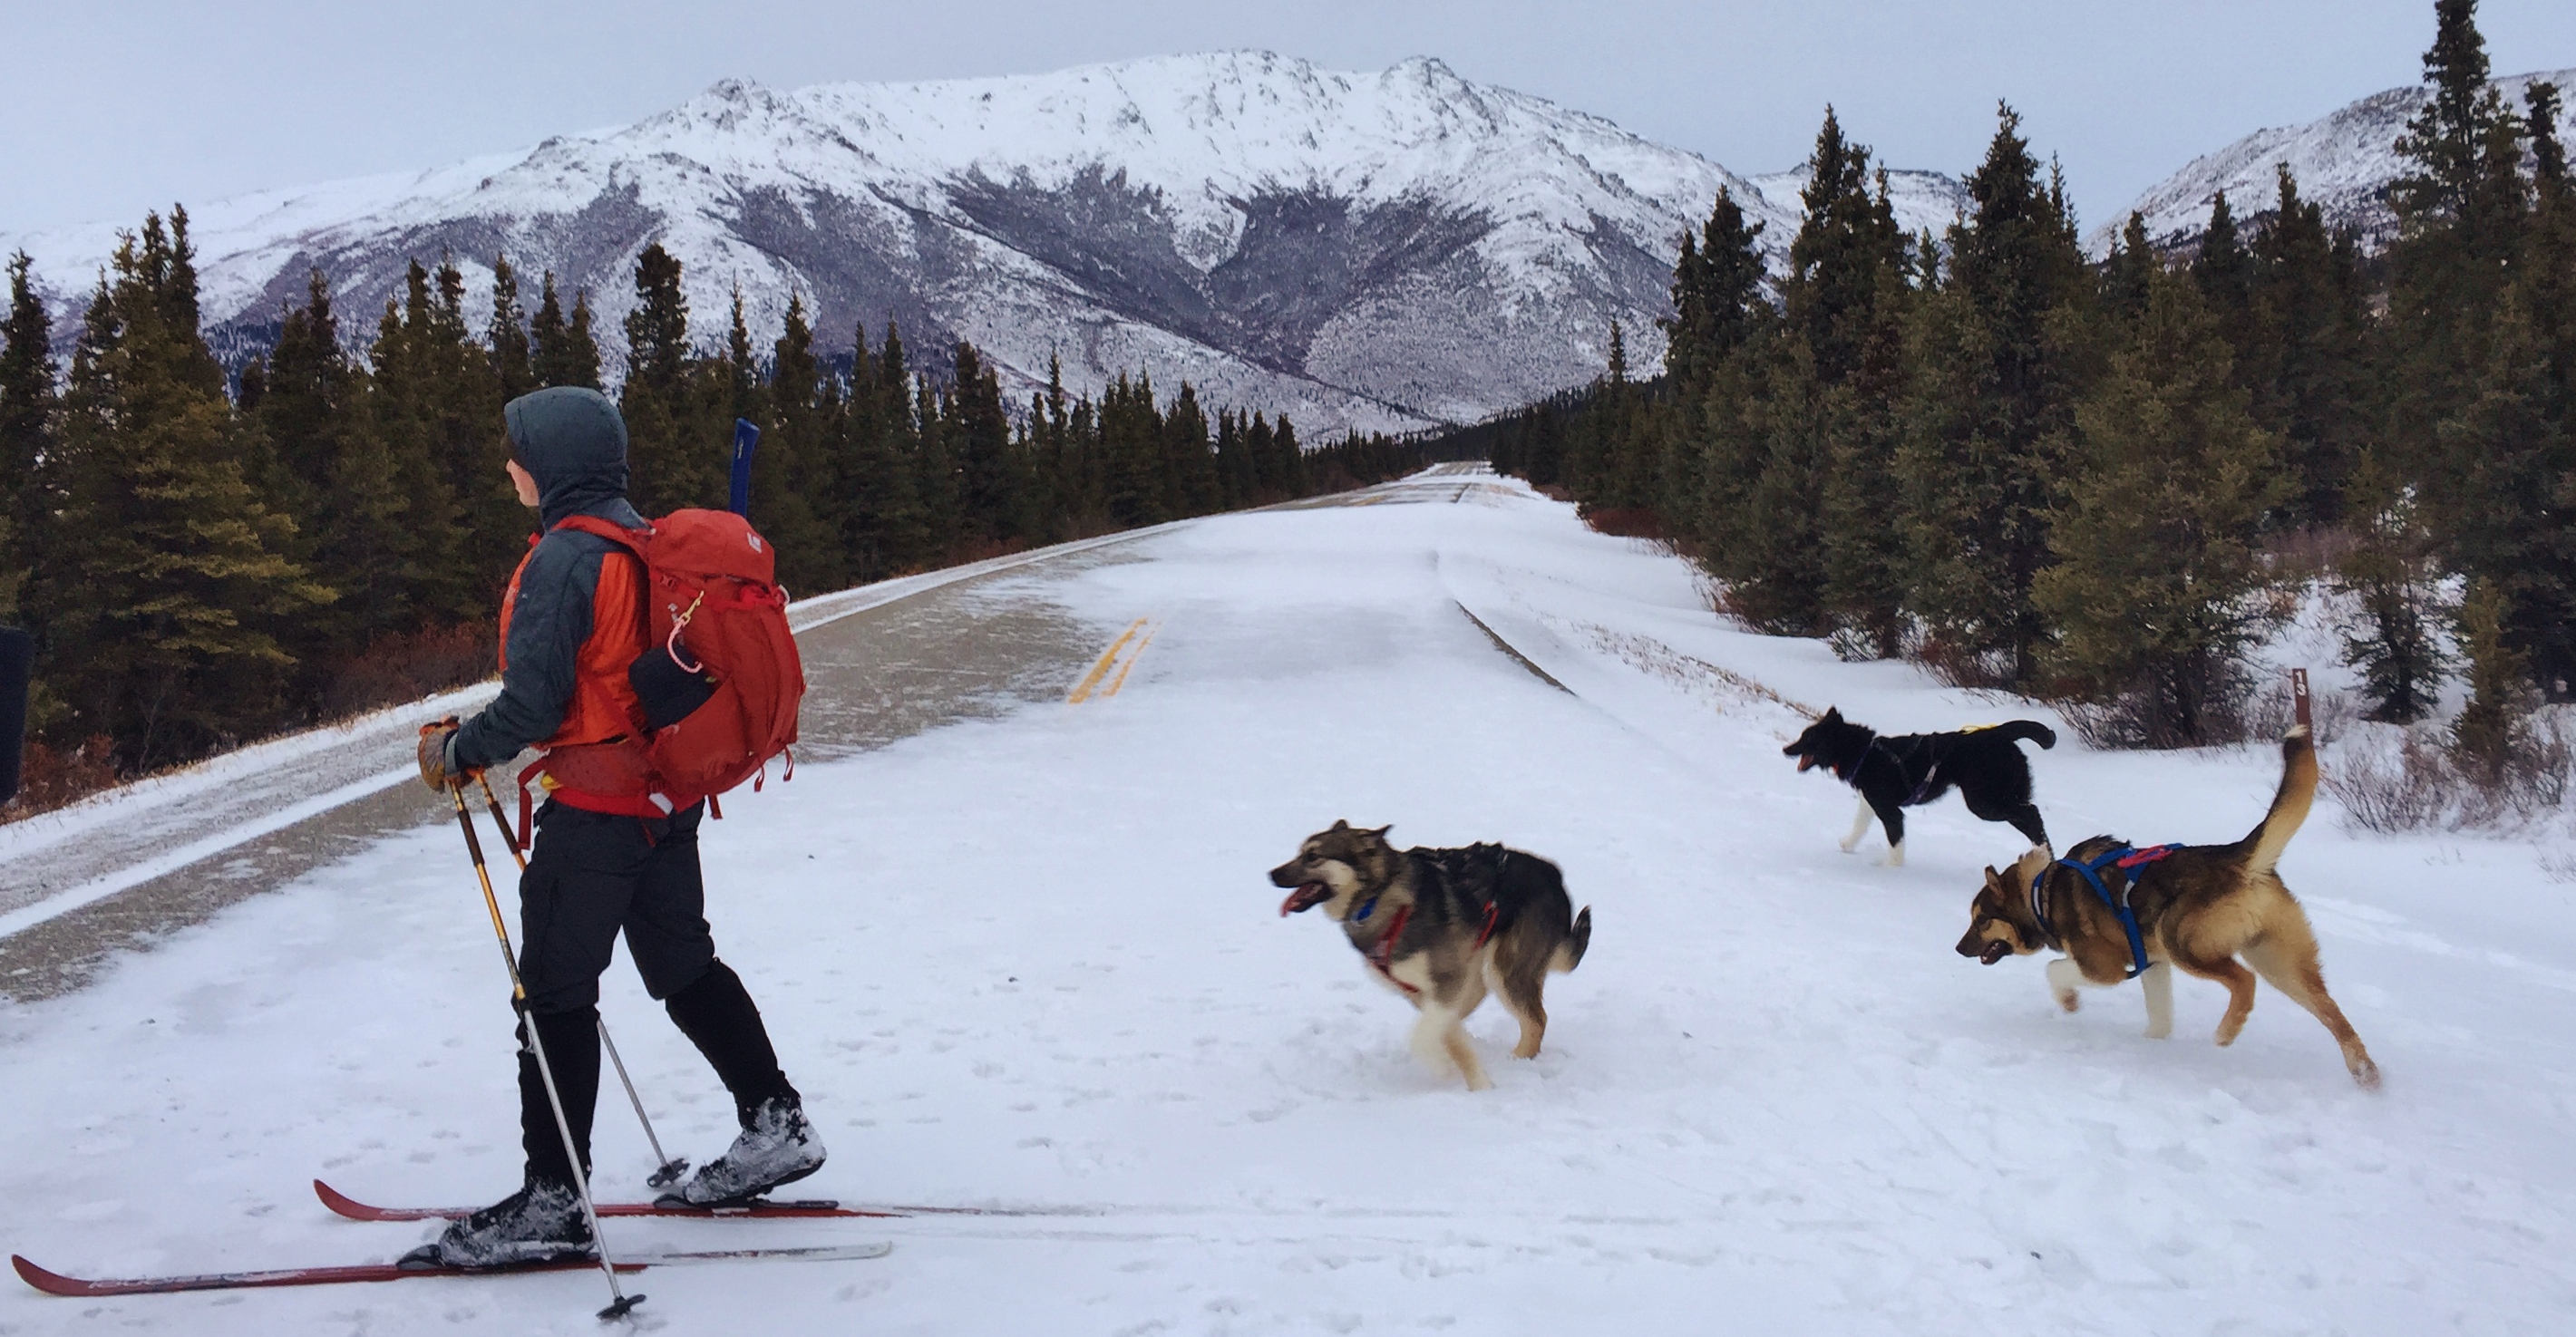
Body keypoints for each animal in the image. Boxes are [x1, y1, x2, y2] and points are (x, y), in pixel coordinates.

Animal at [1267, 819, 1587, 1092]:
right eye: (1300, 852)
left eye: (1313, 856)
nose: (1271, 874)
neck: (1377, 897)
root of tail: (1555, 876)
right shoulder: (1422, 991)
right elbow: (1446, 1034)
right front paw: (1471, 1077)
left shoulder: (1445, 982)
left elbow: (1423, 1036)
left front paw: (1452, 1072)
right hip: (1477, 976)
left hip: (1506, 971)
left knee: (1536, 1020)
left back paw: (1518, 1060)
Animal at [1793, 711, 2050, 870]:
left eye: (1807, 738)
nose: (1787, 749)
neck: (1864, 753)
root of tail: (1998, 733)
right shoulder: (1871, 803)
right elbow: (1859, 825)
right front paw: (1847, 844)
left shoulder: (1890, 811)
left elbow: (1895, 842)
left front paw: (1891, 869)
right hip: (2007, 793)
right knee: (2033, 817)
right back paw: (2043, 860)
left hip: (1985, 802)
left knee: (2031, 815)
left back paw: (2043, 856)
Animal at [1958, 726, 2380, 1092]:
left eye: (1981, 920)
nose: (1958, 949)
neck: (2041, 891)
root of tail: (2241, 859)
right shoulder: (2154, 965)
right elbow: (2159, 1018)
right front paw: (2152, 1044)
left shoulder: (2106, 968)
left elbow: (2053, 970)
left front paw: (2070, 1002)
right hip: (2280, 963)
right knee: (2334, 1015)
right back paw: (2366, 1074)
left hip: (2184, 942)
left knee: (2244, 981)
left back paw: (2227, 1031)